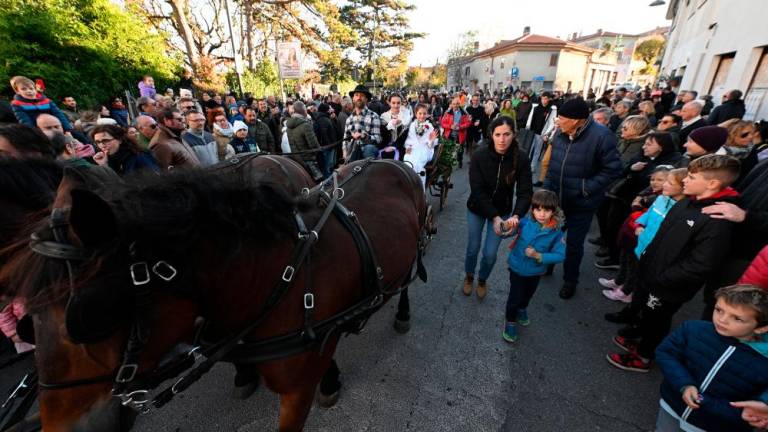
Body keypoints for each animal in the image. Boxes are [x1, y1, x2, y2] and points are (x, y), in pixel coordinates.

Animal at [0, 154, 426, 430]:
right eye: (28, 323)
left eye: (89, 314)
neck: (282, 278)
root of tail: (389, 160)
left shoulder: (297, 391)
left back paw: (403, 312)